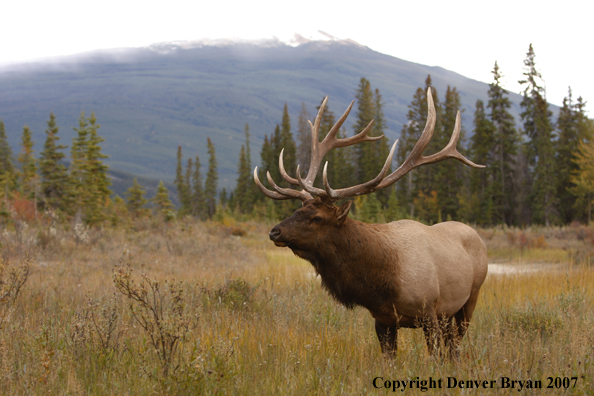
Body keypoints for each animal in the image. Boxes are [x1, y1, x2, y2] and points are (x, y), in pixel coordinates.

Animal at [250, 90, 486, 358]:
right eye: (297, 210)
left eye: (317, 218)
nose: (274, 231)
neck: (382, 285)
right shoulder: (382, 320)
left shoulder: (430, 312)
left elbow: (436, 356)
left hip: (469, 300)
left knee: (455, 347)